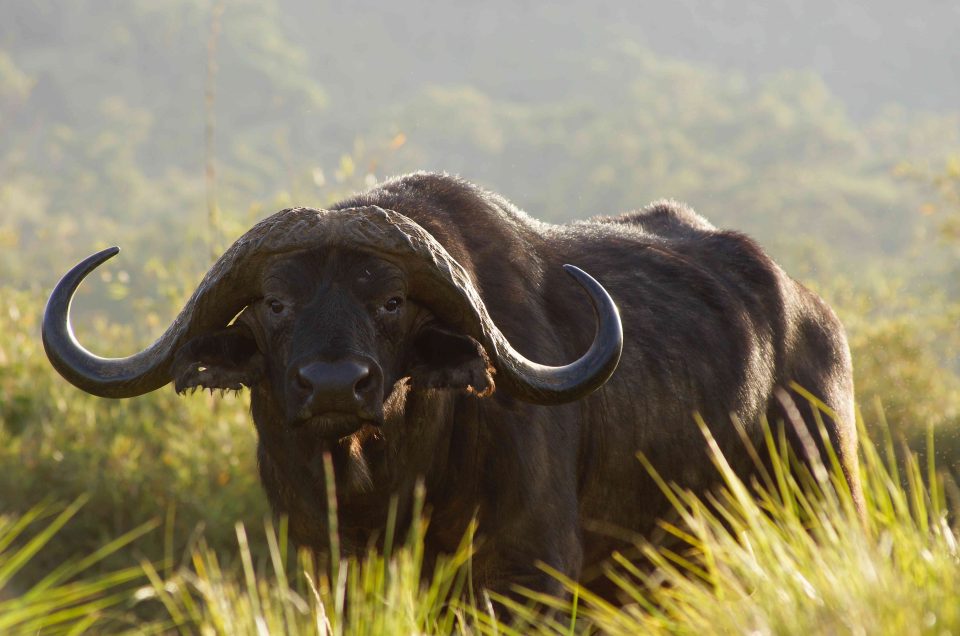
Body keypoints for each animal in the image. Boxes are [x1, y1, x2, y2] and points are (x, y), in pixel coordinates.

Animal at [43, 172, 863, 599]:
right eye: (275, 303)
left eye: (391, 302)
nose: (335, 384)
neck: (387, 485)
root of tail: (816, 322)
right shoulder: (323, 565)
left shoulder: (532, 572)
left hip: (821, 505)